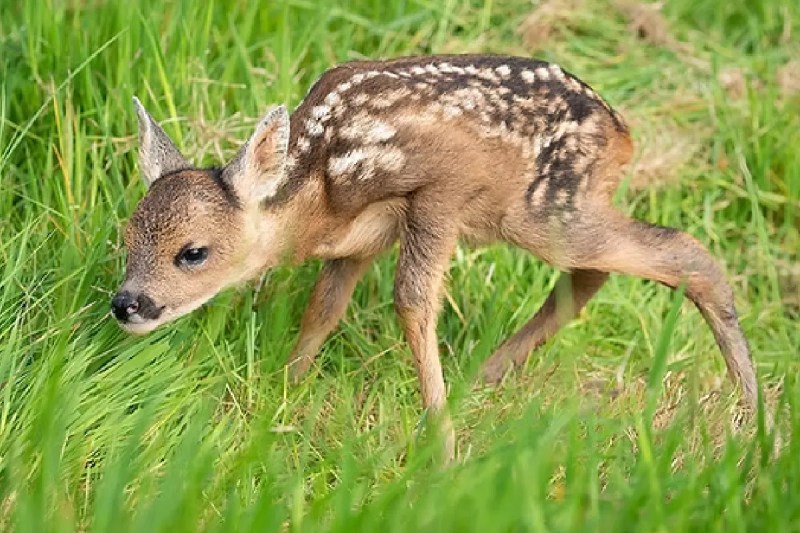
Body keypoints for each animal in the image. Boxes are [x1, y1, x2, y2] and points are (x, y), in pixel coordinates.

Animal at [112, 54, 759, 461]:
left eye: (193, 252)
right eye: (127, 236)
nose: (127, 303)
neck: (322, 186)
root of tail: (622, 133)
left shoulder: (442, 191)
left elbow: (412, 302)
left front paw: (443, 449)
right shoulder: (358, 242)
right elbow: (324, 307)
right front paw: (284, 391)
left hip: (539, 211)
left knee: (685, 253)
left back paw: (755, 425)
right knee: (596, 272)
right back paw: (487, 373)